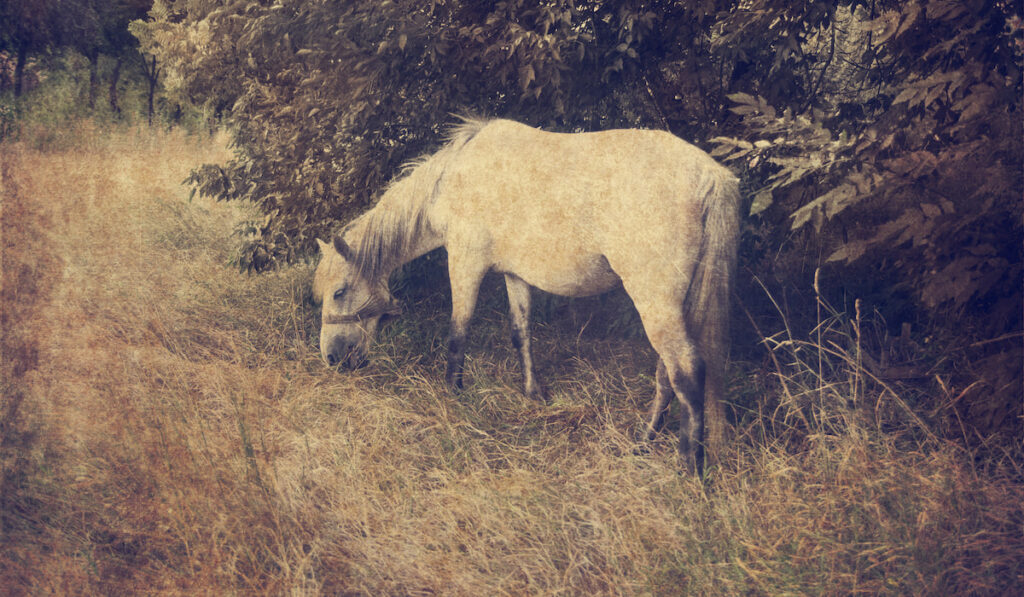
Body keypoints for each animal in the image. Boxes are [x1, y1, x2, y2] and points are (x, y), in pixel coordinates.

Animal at [311, 117, 737, 471]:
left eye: (340, 291)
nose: (331, 358)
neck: (452, 181)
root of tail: (709, 174)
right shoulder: (515, 275)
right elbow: (521, 333)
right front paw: (533, 393)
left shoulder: (464, 263)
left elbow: (458, 332)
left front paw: (453, 393)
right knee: (668, 374)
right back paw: (644, 442)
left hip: (655, 302)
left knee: (686, 372)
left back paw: (688, 468)